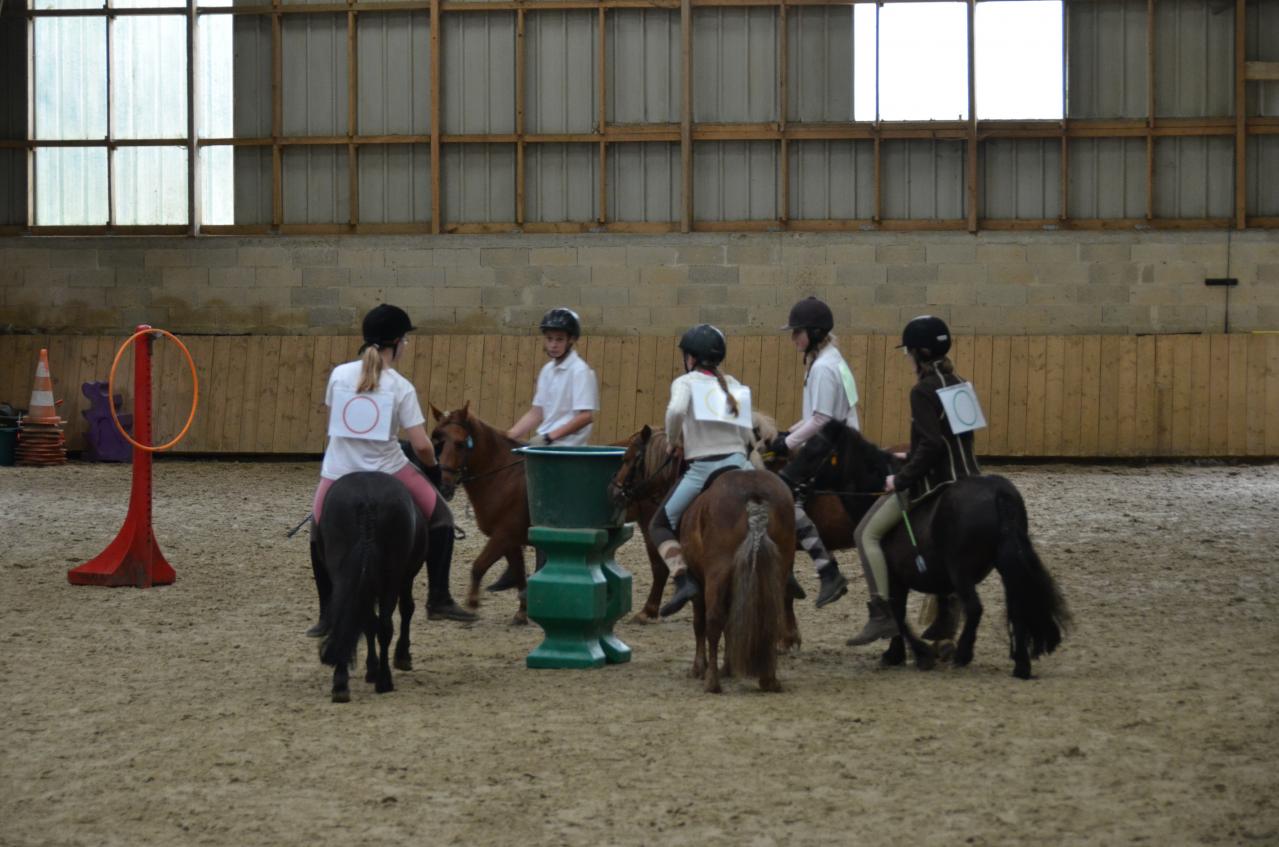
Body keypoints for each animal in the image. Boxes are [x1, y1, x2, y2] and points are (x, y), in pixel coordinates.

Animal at [315, 470, 427, 701]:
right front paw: (401, 657)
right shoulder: (406, 577)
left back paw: (341, 683)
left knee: (350, 617)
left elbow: (367, 622)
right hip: (392, 578)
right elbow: (406, 609)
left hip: (346, 576)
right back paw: (384, 680)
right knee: (384, 624)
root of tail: (367, 500)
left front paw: (371, 668)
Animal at [429, 401, 529, 626]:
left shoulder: (504, 535)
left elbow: (478, 565)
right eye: (436, 442)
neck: (504, 476)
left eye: (460, 444)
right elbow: (519, 573)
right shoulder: (510, 541)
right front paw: (522, 613)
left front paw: (473, 602)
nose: (444, 486)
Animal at [777, 422, 1069, 680]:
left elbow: (896, 612)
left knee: (974, 607)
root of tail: (999, 492)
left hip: (960, 571)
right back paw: (1020, 665)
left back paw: (961, 653)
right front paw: (897, 654)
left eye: (813, 451)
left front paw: (915, 654)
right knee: (1016, 609)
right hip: (1006, 566)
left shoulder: (892, 575)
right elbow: (900, 612)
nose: (784, 481)